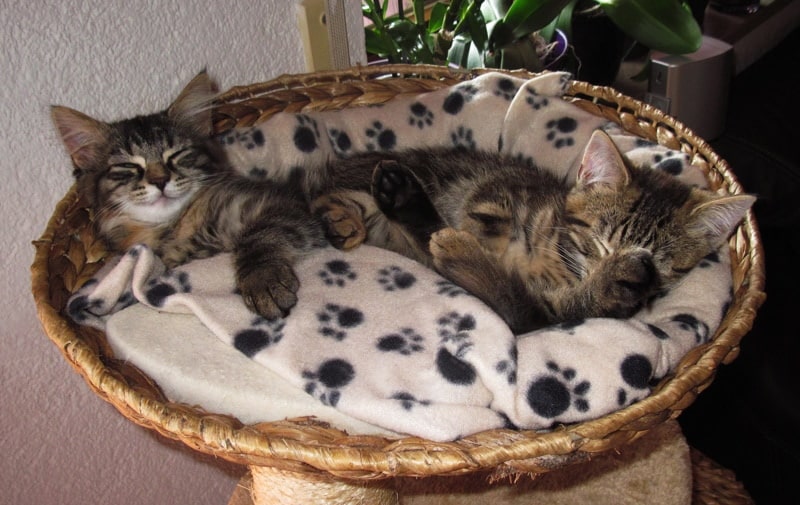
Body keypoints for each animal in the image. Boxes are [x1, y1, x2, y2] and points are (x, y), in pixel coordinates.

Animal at [51, 72, 326, 316]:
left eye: (176, 155)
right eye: (128, 166)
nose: (160, 180)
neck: (174, 227)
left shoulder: (277, 203)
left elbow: (258, 239)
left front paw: (262, 281)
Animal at [314, 132, 756, 332]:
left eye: (662, 265)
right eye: (601, 242)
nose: (632, 267)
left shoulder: (546, 312)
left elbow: (517, 299)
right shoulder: (494, 192)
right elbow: (477, 218)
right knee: (331, 195)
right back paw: (351, 214)